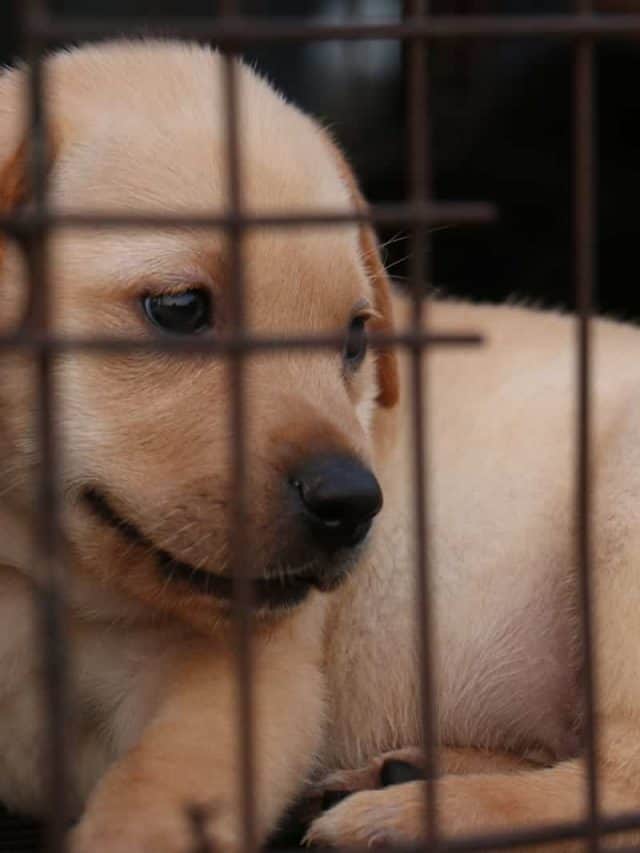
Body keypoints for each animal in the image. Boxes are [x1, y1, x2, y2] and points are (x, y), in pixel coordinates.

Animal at [1, 38, 640, 852]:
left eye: (355, 338)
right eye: (178, 308)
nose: (353, 504)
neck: (32, 573)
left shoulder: (244, 683)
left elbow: (151, 798)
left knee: (616, 785)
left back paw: (407, 814)